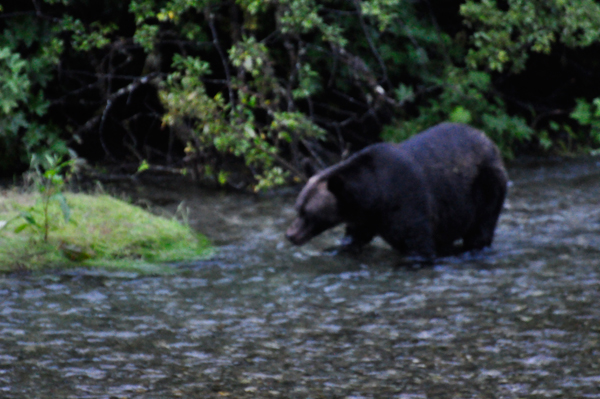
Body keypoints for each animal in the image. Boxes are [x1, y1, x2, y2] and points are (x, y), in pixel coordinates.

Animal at [284, 122, 506, 260]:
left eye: (308, 213)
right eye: (298, 207)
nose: (290, 234)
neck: (374, 196)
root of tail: (491, 142)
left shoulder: (407, 203)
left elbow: (418, 245)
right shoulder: (364, 218)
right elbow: (354, 238)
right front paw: (339, 249)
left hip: (486, 187)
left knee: (480, 229)